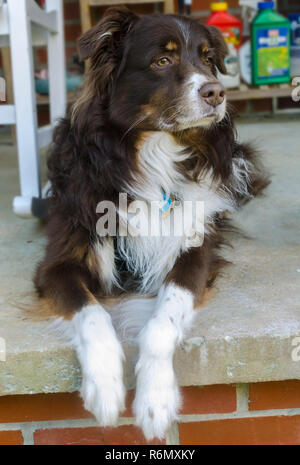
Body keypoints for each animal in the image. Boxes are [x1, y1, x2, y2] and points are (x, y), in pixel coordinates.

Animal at [33, 7, 270, 440]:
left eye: (208, 59)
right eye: (162, 61)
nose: (217, 93)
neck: (153, 153)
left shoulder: (194, 250)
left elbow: (165, 316)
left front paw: (155, 400)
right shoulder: (59, 263)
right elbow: (91, 313)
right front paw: (105, 388)